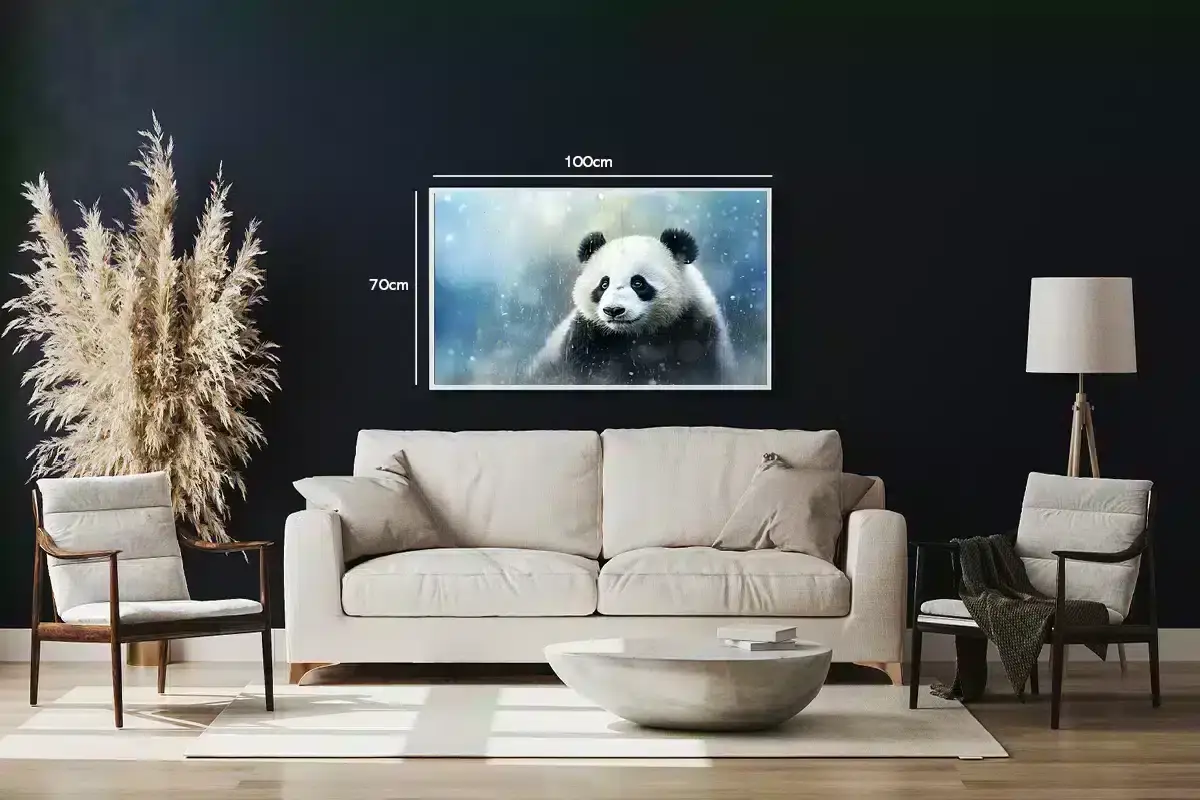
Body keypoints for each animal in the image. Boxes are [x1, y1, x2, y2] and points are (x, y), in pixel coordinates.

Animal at [528, 228, 735, 385]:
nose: (613, 310)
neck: (635, 335)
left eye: (638, 283)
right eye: (604, 284)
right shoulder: (587, 337)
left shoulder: (696, 329)